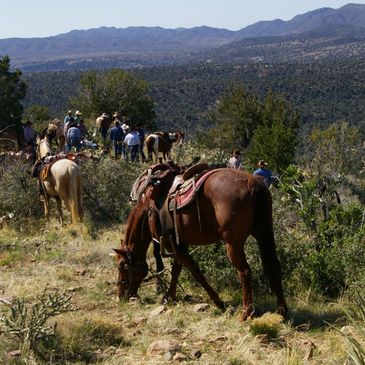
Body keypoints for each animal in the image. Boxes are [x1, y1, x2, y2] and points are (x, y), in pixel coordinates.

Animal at [114, 164, 288, 320]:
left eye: (122, 266)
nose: (121, 295)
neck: (147, 207)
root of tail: (254, 185)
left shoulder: (171, 243)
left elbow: (194, 271)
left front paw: (218, 302)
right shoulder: (179, 242)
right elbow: (177, 269)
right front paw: (170, 296)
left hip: (233, 243)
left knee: (244, 272)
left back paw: (246, 312)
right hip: (264, 233)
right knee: (273, 266)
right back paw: (281, 311)